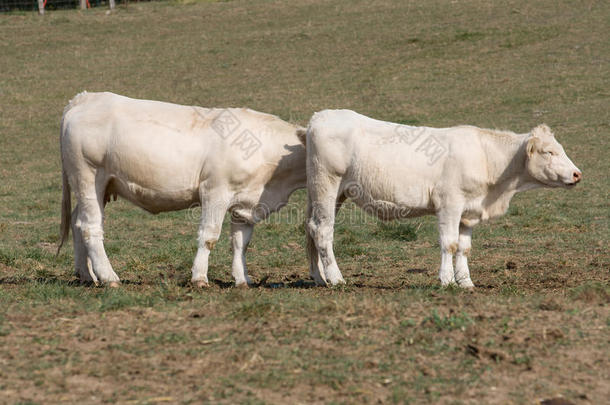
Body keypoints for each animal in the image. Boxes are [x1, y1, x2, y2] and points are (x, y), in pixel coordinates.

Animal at [57, 91, 304, 288]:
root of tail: (85, 98)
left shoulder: (246, 204)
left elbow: (240, 244)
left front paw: (243, 280)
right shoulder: (215, 191)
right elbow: (209, 236)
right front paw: (199, 278)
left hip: (100, 187)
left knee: (78, 221)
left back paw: (86, 275)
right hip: (87, 177)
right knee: (90, 227)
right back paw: (109, 277)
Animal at [302, 109, 580, 288]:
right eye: (549, 151)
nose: (577, 174)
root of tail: (321, 116)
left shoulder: (469, 211)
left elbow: (464, 247)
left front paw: (466, 282)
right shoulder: (450, 204)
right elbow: (450, 244)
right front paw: (446, 280)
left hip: (330, 193)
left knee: (311, 229)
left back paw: (319, 277)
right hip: (327, 185)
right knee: (324, 231)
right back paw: (336, 278)